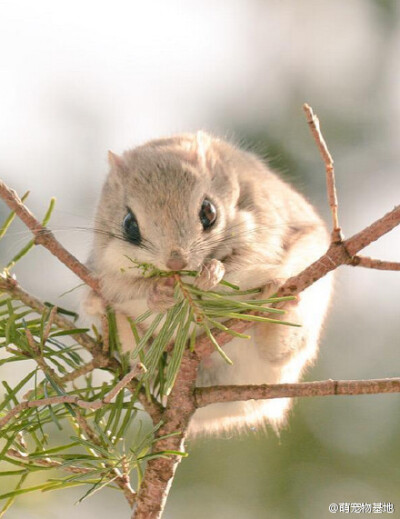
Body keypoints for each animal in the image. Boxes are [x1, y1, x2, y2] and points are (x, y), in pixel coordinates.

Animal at [83, 132, 332, 436]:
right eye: (129, 224)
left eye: (209, 212)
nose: (175, 263)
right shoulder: (106, 268)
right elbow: (128, 287)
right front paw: (158, 294)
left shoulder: (264, 227)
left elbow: (240, 263)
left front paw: (211, 274)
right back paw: (100, 306)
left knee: (278, 350)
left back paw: (279, 301)